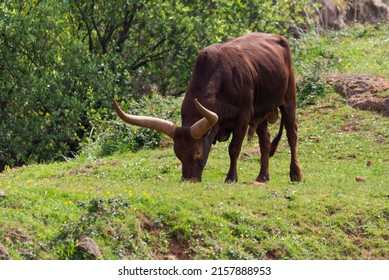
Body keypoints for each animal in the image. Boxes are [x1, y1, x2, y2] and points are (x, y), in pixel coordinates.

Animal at [111, 32, 300, 184]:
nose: (189, 180)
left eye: (197, 153)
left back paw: (296, 174)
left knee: (292, 135)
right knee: (265, 140)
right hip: (261, 111)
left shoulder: (244, 116)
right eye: (178, 154)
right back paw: (262, 177)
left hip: (288, 99)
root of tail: (278, 38)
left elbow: (234, 148)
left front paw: (231, 178)